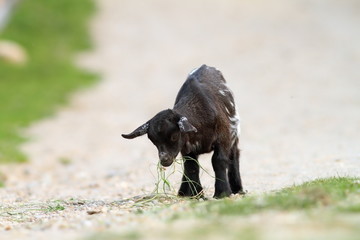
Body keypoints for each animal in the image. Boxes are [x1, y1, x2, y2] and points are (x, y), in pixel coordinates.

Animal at [122, 64, 243, 198]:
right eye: (152, 140)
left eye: (174, 136)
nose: (164, 160)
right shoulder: (186, 148)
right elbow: (191, 167)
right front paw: (196, 194)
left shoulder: (224, 136)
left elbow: (218, 160)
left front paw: (222, 193)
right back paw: (183, 192)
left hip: (234, 134)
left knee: (234, 155)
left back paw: (238, 189)